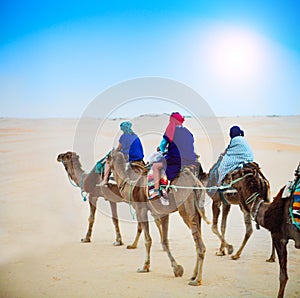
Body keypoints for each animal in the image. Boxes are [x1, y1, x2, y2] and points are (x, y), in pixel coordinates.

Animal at [106, 150, 210, 286]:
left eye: (107, 159)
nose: (103, 172)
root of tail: (195, 183)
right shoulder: (162, 212)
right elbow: (164, 241)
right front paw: (177, 269)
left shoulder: (141, 210)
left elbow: (148, 240)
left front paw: (145, 267)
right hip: (197, 210)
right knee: (197, 242)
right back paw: (193, 275)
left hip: (186, 209)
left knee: (200, 245)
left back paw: (197, 280)